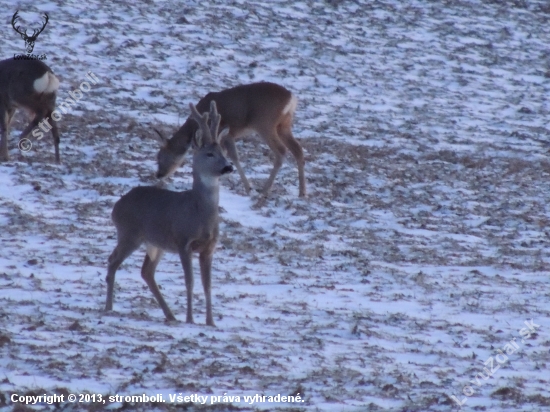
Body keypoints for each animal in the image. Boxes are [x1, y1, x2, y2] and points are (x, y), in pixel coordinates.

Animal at [104, 100, 234, 326]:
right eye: (209, 153)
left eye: (224, 152)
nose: (228, 167)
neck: (200, 215)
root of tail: (117, 206)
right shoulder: (183, 242)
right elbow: (190, 281)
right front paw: (190, 319)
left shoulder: (209, 248)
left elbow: (208, 285)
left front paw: (210, 322)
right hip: (129, 233)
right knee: (113, 261)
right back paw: (108, 307)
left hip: (156, 243)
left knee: (146, 271)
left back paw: (170, 315)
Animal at [155, 82, 308, 198]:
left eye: (160, 156)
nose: (159, 174)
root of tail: (291, 98)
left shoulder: (226, 133)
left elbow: (234, 156)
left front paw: (248, 188)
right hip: (284, 125)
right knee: (298, 149)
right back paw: (302, 192)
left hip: (265, 123)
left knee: (281, 151)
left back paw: (264, 190)